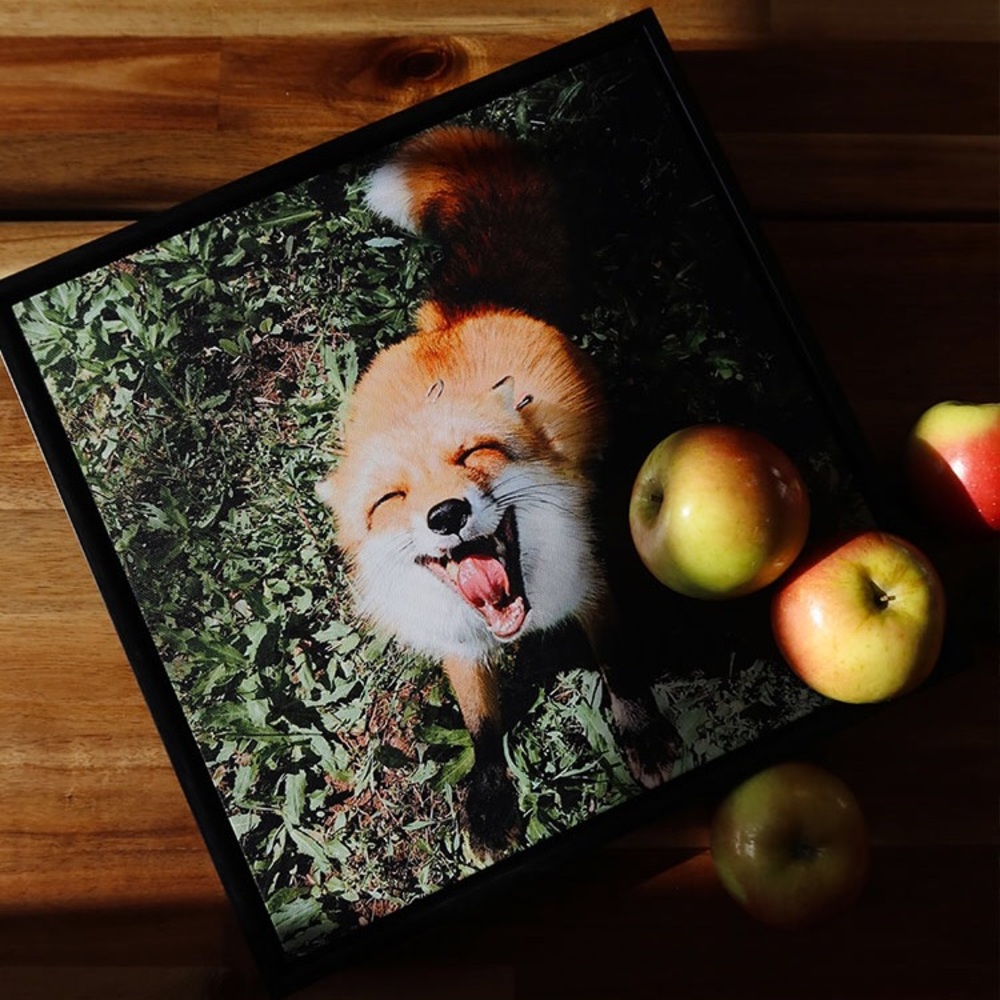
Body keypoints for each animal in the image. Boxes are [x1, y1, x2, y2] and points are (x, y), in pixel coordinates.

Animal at [317, 127, 679, 855]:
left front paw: (642, 734)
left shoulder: (592, 583)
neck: (522, 613)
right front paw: (487, 802)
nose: (446, 513)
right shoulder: (461, 643)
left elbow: (621, 667)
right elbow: (481, 726)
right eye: (390, 501)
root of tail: (459, 317)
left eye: (473, 454)